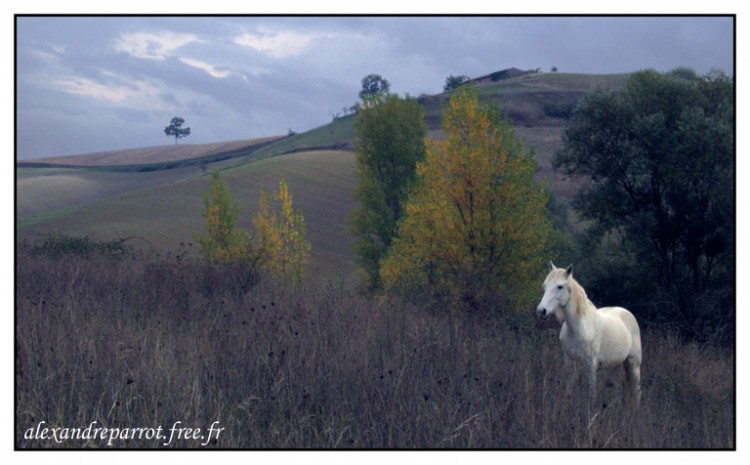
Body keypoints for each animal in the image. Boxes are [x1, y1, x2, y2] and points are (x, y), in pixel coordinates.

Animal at [536, 262, 644, 404]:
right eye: (545, 286)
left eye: (560, 286)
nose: (541, 311)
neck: (580, 329)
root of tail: (627, 313)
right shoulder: (569, 363)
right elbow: (568, 390)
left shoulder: (591, 367)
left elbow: (591, 394)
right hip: (614, 366)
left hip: (634, 364)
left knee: (637, 391)